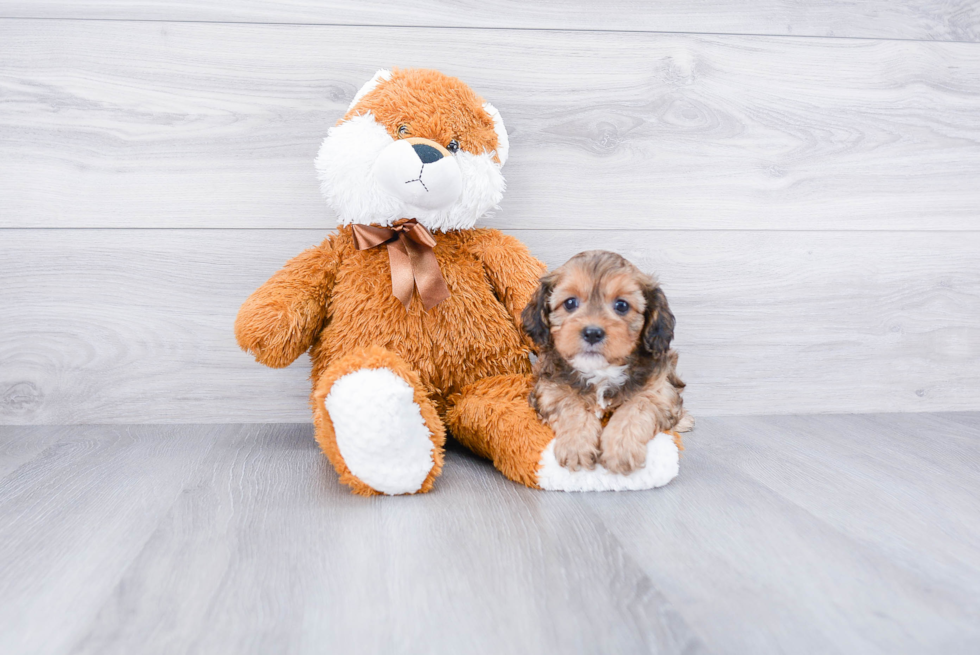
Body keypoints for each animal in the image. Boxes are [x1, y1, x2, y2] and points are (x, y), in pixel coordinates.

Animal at [520, 252, 688, 476]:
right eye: (570, 303)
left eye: (622, 305)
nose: (592, 333)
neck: (601, 371)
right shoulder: (550, 387)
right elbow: (572, 407)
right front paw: (576, 447)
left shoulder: (658, 391)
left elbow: (634, 410)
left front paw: (621, 449)